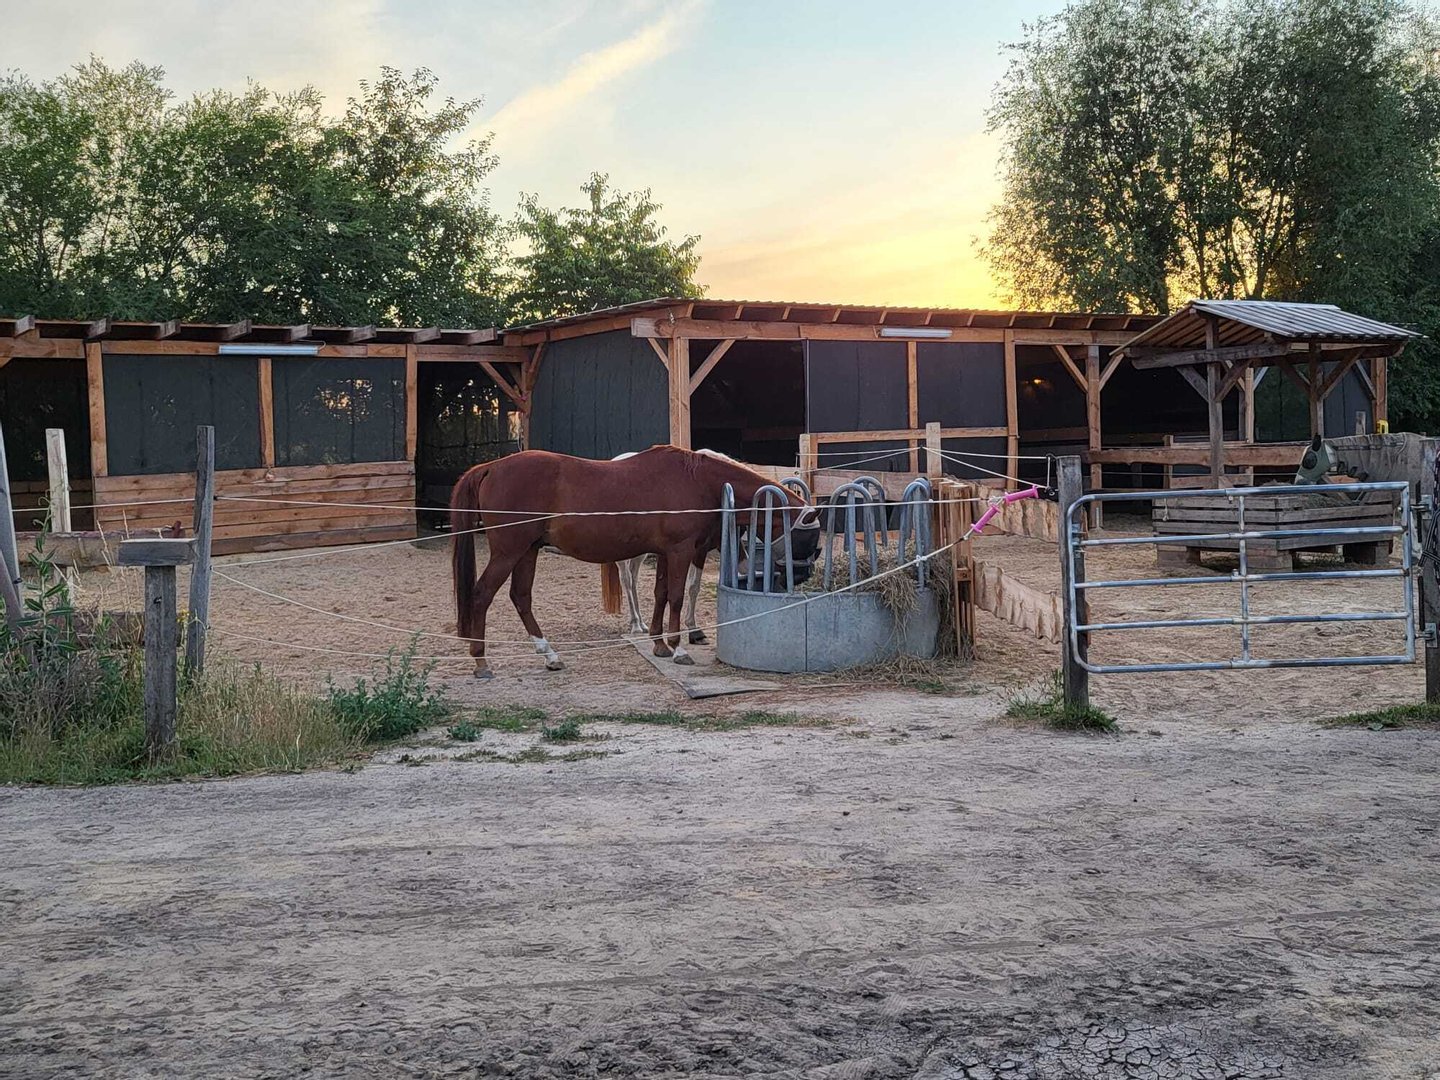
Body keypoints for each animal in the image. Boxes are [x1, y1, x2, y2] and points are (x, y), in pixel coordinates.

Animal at [451, 445, 819, 678]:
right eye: (810, 539)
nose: (801, 578)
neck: (697, 481)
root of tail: (490, 468)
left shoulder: (666, 553)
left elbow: (661, 595)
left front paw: (658, 644)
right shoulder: (681, 551)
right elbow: (677, 596)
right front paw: (678, 648)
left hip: (528, 551)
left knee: (521, 597)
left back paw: (550, 656)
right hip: (509, 551)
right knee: (482, 595)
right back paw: (481, 662)